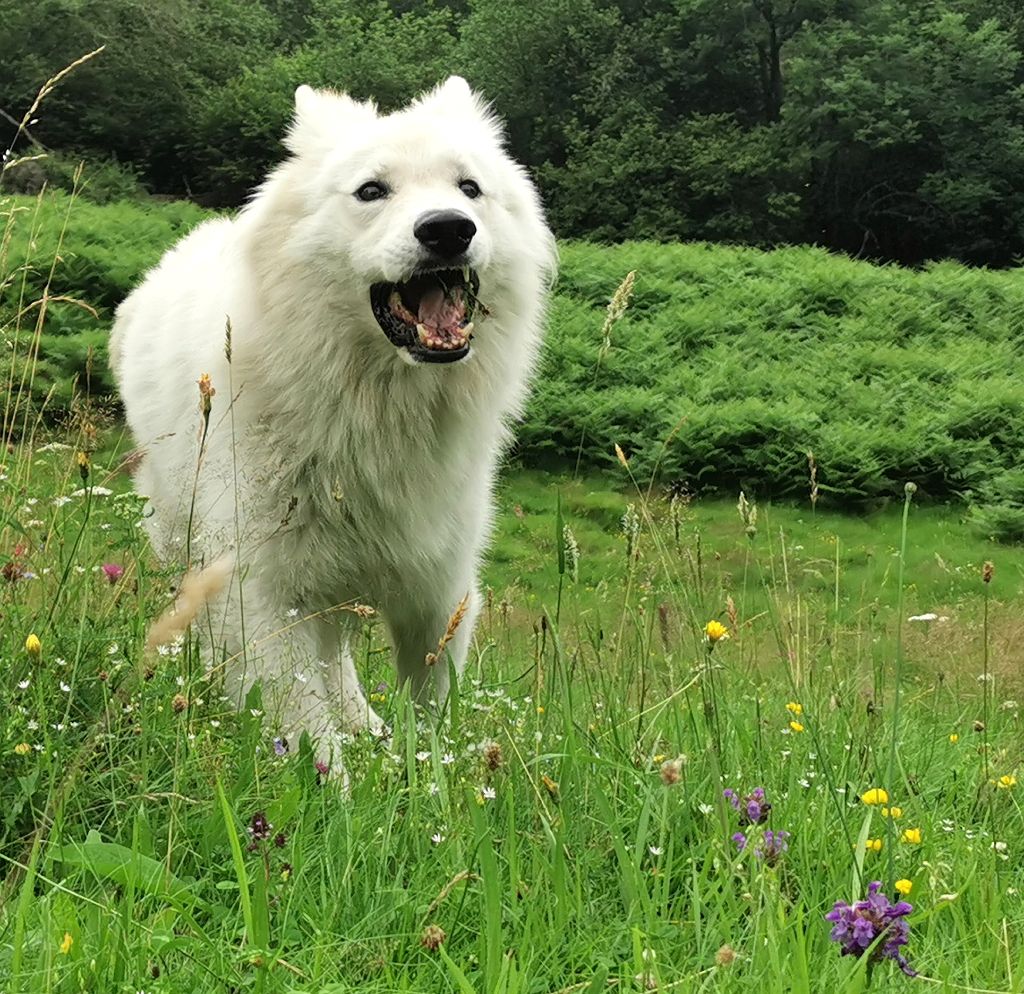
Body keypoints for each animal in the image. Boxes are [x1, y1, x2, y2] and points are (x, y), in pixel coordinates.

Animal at [111, 77, 557, 765]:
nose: (449, 230)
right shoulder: (264, 597)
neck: (374, 412)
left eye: (469, 188)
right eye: (372, 191)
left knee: (337, 658)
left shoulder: (438, 595)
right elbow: (314, 743)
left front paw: (420, 781)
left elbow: (429, 729)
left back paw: (364, 720)